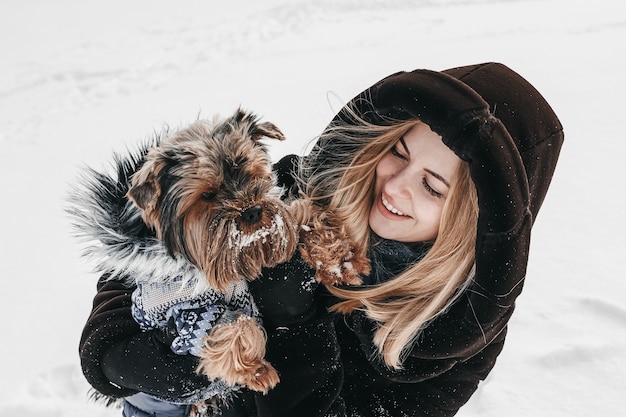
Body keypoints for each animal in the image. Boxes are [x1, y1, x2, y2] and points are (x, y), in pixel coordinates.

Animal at [128, 107, 370, 394]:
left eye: (252, 174)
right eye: (207, 195)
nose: (252, 210)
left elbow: (300, 217)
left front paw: (341, 260)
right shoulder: (186, 312)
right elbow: (236, 324)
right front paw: (254, 370)